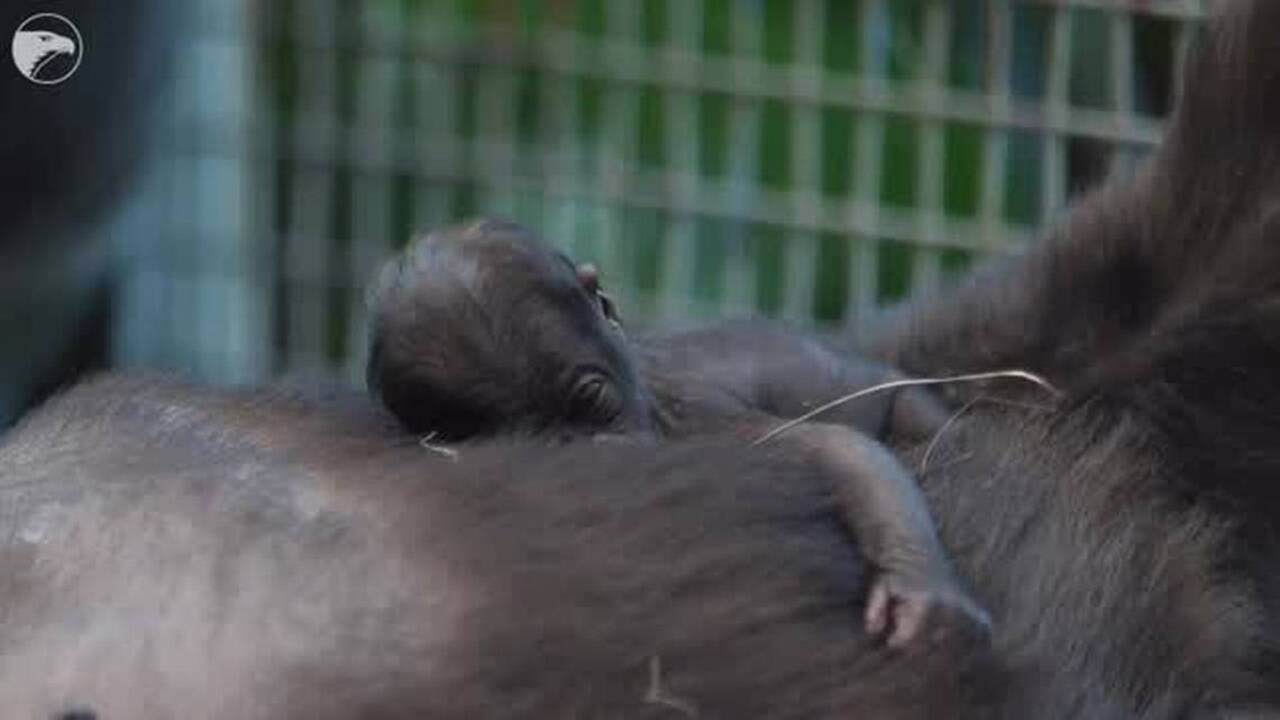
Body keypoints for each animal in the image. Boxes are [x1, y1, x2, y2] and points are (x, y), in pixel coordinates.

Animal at [363, 218, 984, 648]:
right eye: (532, 441)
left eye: (592, 403)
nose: (600, 452)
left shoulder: (701, 418)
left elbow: (836, 449)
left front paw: (920, 586)